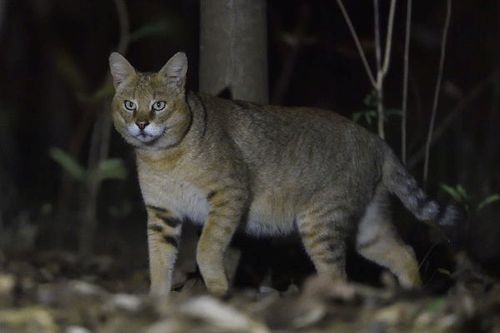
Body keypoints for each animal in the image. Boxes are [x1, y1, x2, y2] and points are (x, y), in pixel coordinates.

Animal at [107, 50, 458, 294]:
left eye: (159, 105)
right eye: (129, 104)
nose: (141, 124)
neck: (161, 158)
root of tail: (376, 140)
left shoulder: (229, 195)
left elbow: (206, 248)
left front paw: (218, 291)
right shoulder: (162, 213)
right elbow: (159, 261)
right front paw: (157, 301)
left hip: (320, 223)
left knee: (339, 276)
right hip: (367, 226)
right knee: (404, 252)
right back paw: (414, 297)